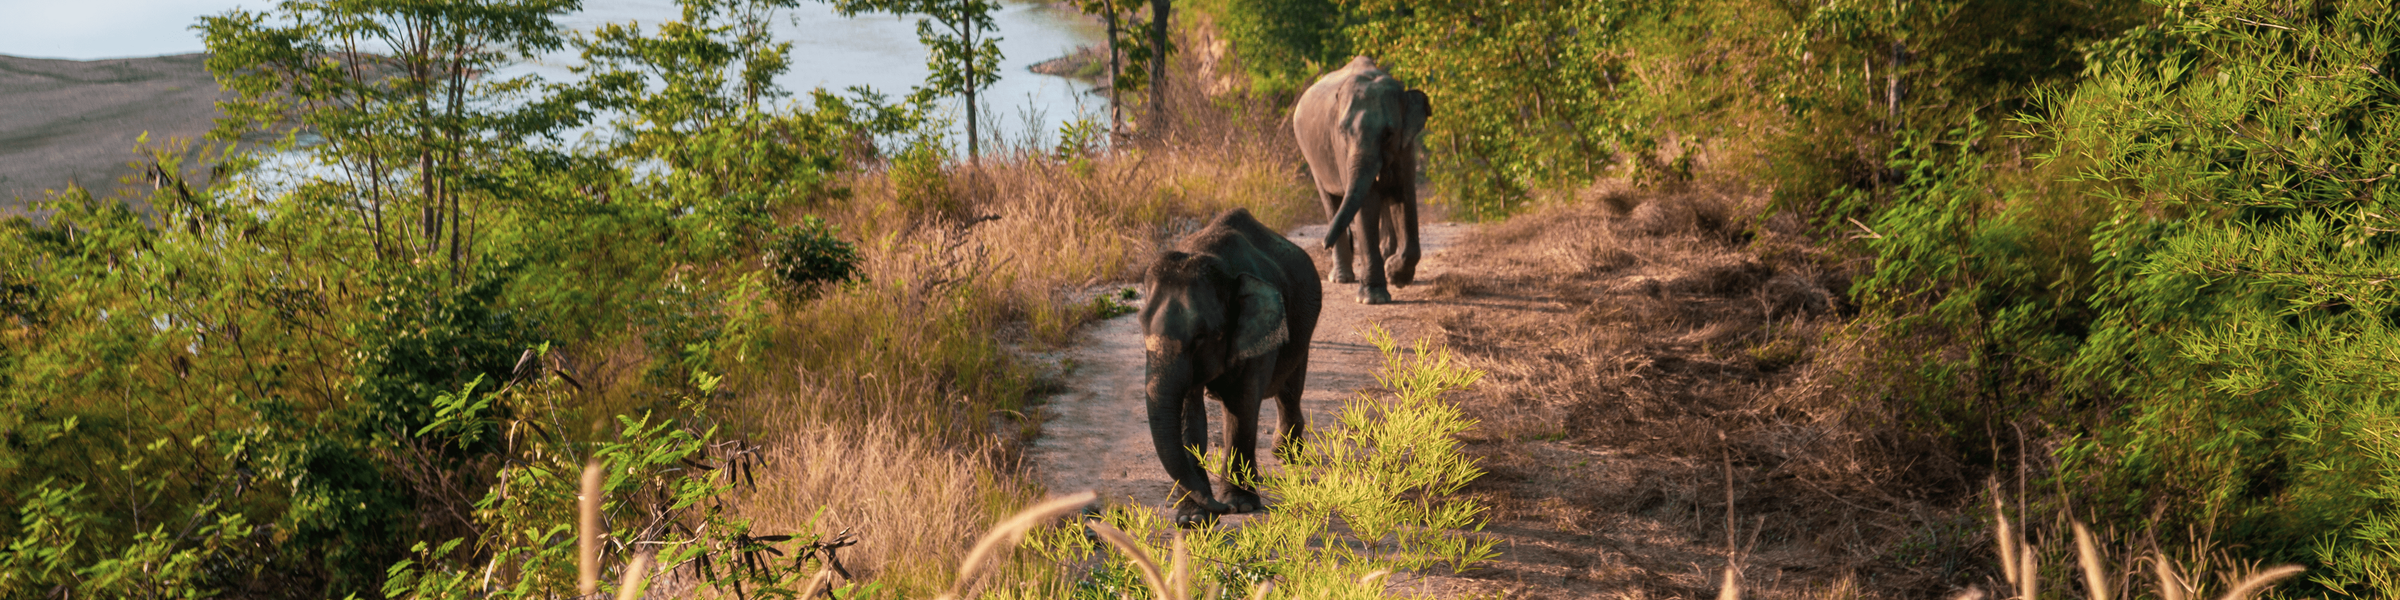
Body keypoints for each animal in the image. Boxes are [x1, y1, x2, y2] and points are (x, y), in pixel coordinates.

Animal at [1138, 207, 1322, 525]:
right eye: (1141, 325)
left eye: (1200, 336)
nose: (1218, 508)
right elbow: (1188, 413)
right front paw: (1192, 519)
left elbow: (1242, 405)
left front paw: (1239, 505)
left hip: (1302, 327)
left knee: (1289, 389)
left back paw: (1285, 455)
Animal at [1293, 56, 1433, 305]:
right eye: (1343, 131)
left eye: (1388, 134)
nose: (1323, 244)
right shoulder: (1340, 148)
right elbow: (1367, 204)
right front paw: (1373, 299)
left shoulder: (1406, 146)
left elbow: (1404, 197)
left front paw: (1396, 276)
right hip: (1312, 158)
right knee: (1331, 203)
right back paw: (1342, 278)